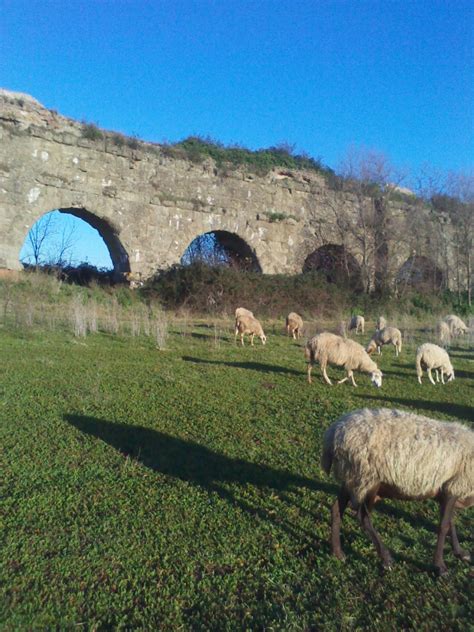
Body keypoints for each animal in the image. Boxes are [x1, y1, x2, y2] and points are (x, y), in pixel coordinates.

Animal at [320, 408, 472, 576]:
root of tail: (333, 432)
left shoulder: (450, 489)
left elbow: (450, 522)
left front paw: (460, 552)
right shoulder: (453, 486)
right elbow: (444, 526)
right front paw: (440, 565)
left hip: (351, 477)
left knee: (336, 508)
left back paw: (337, 552)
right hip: (367, 477)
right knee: (363, 516)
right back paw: (386, 559)